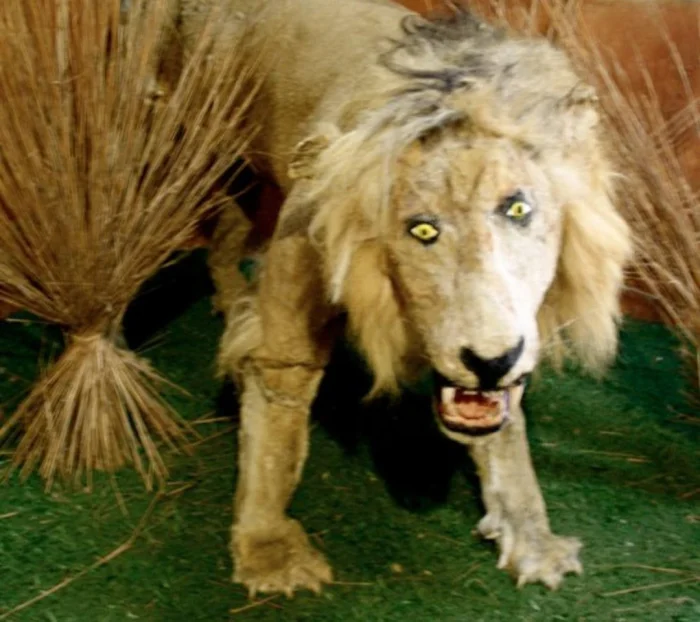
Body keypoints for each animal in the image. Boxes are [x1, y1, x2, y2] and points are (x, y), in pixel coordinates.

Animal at [153, 0, 632, 597]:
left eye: (518, 209)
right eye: (422, 230)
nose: (491, 359)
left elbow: (506, 427)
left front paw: (531, 538)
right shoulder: (297, 272)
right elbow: (279, 420)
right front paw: (269, 552)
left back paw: (231, 297)